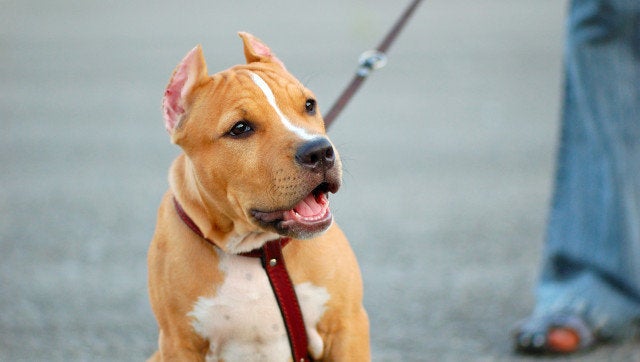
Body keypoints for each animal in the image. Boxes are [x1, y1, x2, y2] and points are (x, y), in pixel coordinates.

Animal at [148, 32, 370, 360]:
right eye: (240, 128)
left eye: (309, 105)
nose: (319, 151)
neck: (256, 252)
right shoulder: (179, 343)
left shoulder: (347, 327)